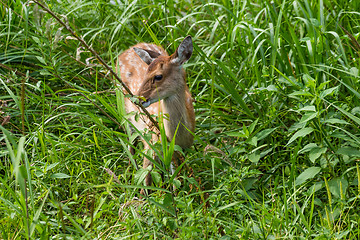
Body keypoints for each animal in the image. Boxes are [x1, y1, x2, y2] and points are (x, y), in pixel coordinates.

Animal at [116, 35, 195, 190]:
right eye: (145, 73)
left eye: (158, 76)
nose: (137, 99)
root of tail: (126, 50)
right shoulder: (151, 141)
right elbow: (146, 175)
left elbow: (176, 177)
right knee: (130, 139)